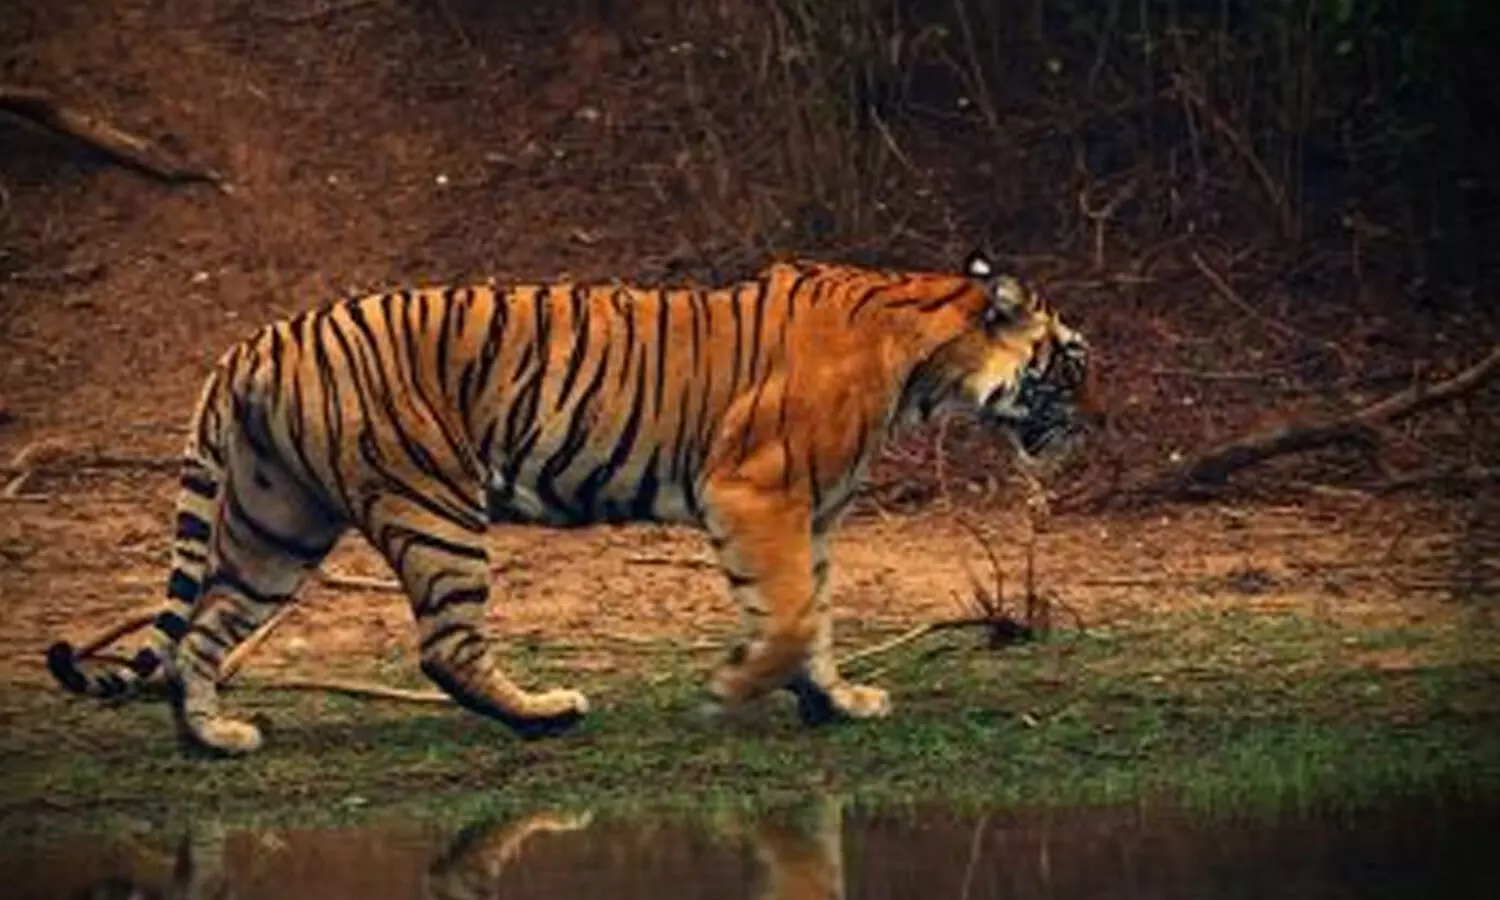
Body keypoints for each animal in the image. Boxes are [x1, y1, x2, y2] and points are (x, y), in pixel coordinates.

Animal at [45, 250, 1095, 756]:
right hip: (433, 505)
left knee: (202, 633)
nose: (1092, 423)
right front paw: (732, 691)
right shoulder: (754, 491)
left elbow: (816, 618)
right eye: (1071, 362)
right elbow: (793, 616)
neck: (927, 362)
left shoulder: (812, 515)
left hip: (279, 521)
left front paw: (834, 701)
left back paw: (214, 739)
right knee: (445, 648)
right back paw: (545, 713)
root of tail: (251, 343)